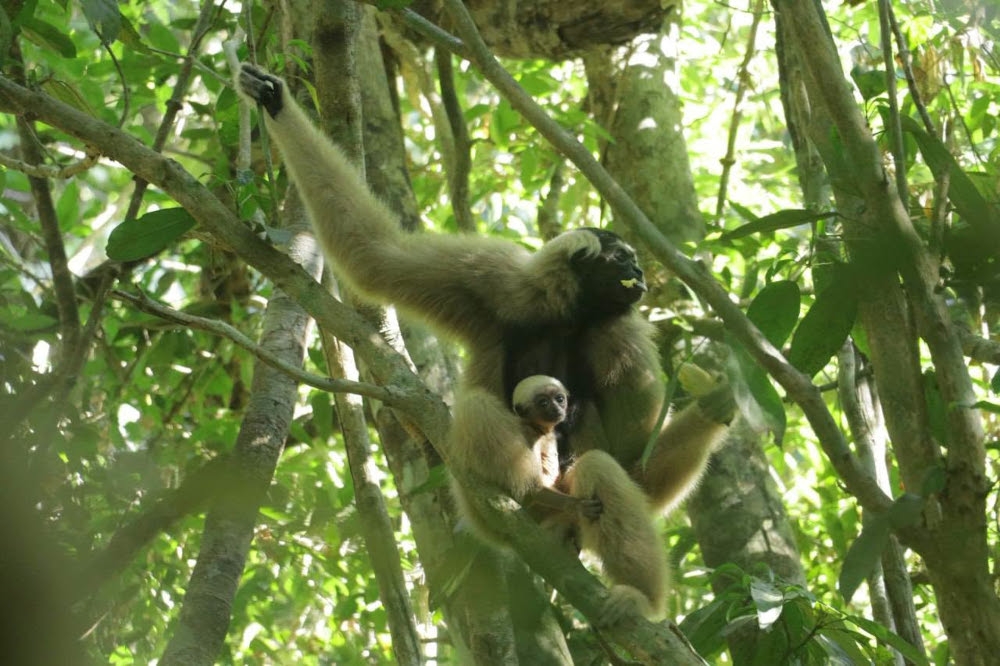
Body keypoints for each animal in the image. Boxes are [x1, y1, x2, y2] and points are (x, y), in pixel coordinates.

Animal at [237, 64, 735, 624]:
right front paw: (274, 102)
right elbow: (377, 257)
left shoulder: (622, 337)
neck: (567, 313)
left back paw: (637, 598)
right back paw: (517, 492)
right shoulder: (497, 281)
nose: (640, 274)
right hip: (481, 507)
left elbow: (636, 468)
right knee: (478, 410)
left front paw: (716, 404)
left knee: (599, 468)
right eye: (622, 258)